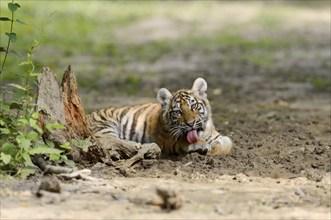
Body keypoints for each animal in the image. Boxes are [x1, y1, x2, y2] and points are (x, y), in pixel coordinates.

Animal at [87, 78, 232, 156]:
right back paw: (139, 145)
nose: (191, 124)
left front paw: (215, 149)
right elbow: (188, 142)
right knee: (108, 141)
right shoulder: (170, 141)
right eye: (178, 112)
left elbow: (228, 142)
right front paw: (204, 146)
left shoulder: (217, 136)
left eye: (193, 106)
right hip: (104, 126)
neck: (203, 133)